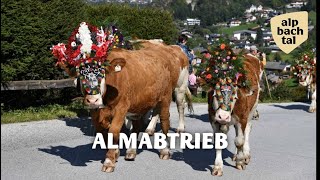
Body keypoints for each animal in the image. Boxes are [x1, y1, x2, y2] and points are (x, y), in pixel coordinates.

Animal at [60, 40, 190, 172]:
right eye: (80, 76)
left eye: (102, 74)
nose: (92, 100)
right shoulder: (96, 111)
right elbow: (102, 131)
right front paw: (115, 152)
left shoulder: (121, 108)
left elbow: (113, 130)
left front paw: (109, 161)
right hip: (140, 102)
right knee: (138, 124)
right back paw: (132, 151)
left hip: (170, 94)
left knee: (167, 118)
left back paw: (166, 148)